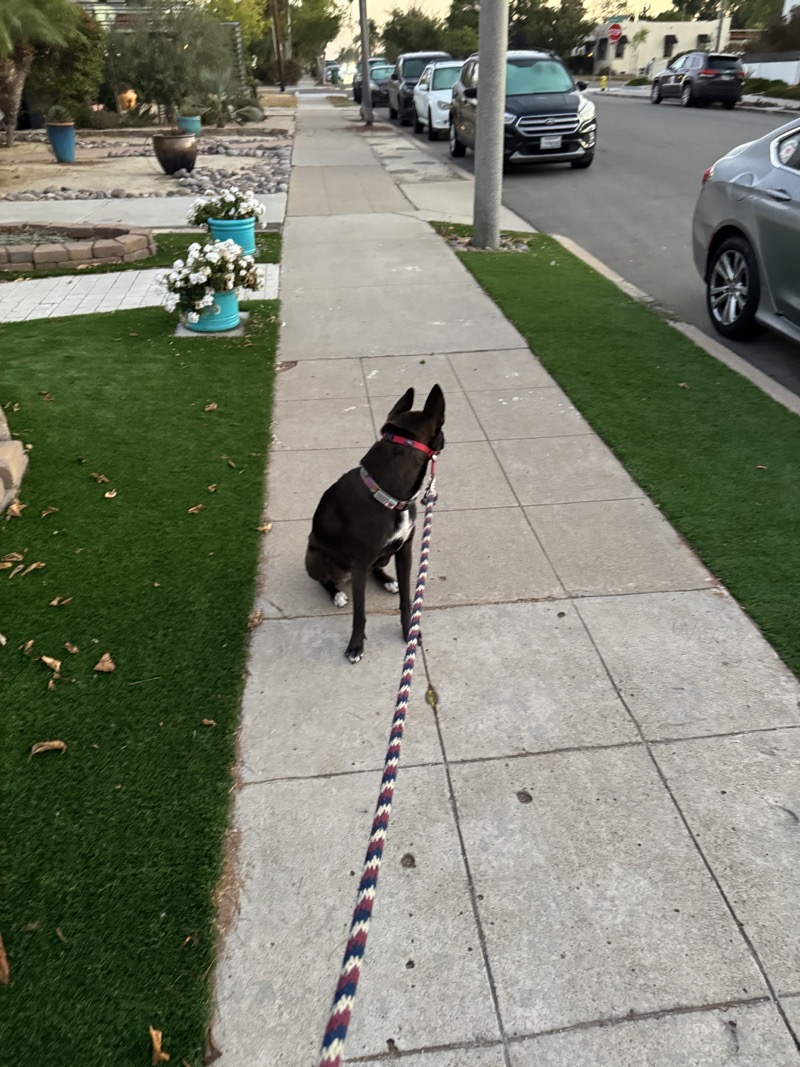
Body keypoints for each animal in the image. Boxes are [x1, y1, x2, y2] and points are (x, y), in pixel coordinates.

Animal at [305, 388, 445, 661]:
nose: (444, 441)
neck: (385, 493)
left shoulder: (405, 551)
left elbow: (406, 599)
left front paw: (408, 631)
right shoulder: (359, 564)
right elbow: (359, 614)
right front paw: (355, 645)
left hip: (384, 556)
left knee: (377, 569)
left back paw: (387, 580)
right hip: (315, 557)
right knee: (325, 580)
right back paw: (336, 594)